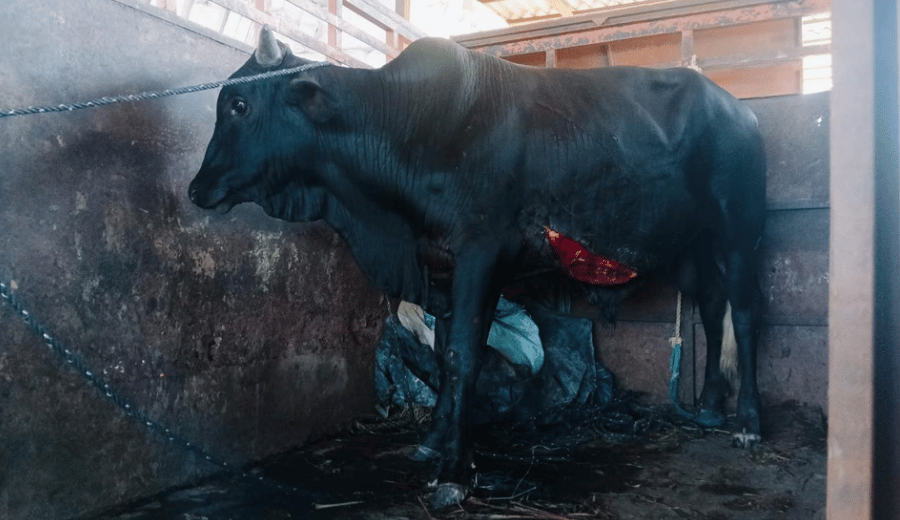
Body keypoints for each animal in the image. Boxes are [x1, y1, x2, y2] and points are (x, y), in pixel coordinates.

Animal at [188, 26, 766, 507]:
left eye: (238, 104)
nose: (196, 189)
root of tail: (738, 109)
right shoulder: (441, 269)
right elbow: (445, 356)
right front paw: (431, 442)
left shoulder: (482, 256)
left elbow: (466, 357)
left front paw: (454, 470)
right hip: (696, 248)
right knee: (712, 309)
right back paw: (710, 405)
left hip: (739, 228)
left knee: (744, 314)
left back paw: (748, 422)